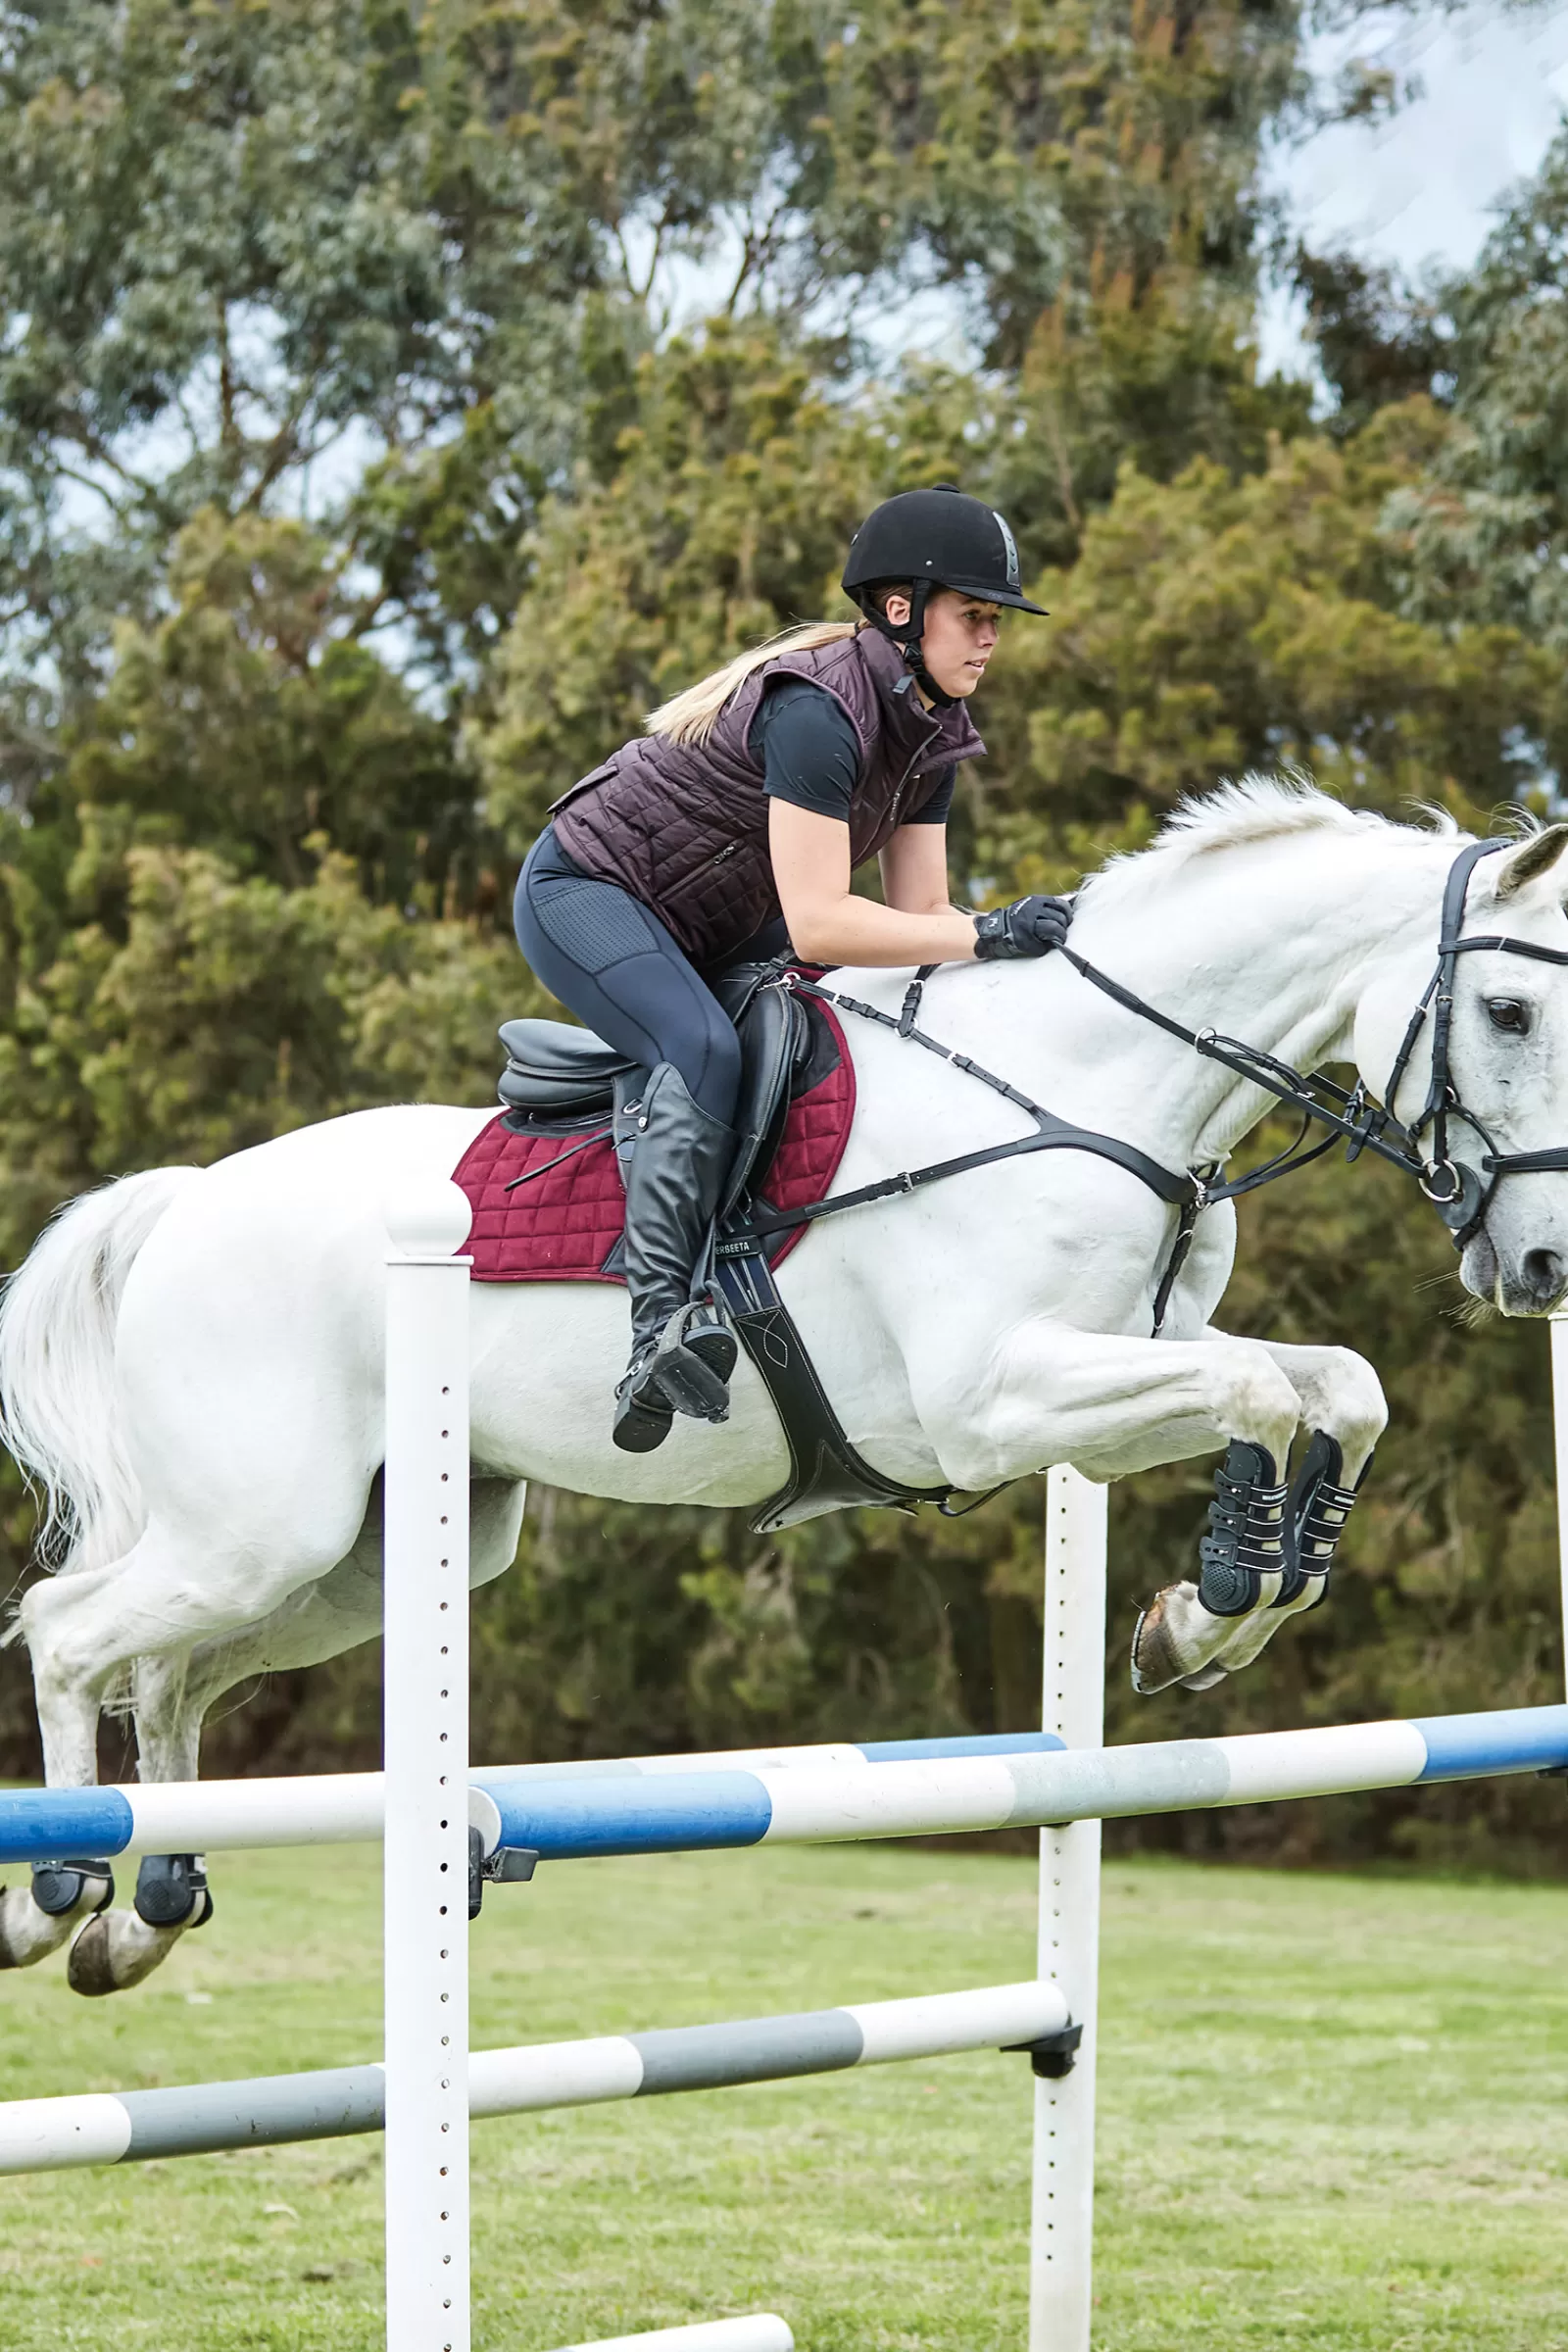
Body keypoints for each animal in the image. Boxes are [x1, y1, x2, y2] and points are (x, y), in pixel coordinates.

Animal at [3, 780, 1568, 1994]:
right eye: (1506, 1009)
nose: (1543, 1263)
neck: (1095, 1084)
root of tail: (185, 1201)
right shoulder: (997, 1405)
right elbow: (1258, 1392)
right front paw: (1217, 1598)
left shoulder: (1127, 1364)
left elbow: (1337, 1387)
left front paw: (1213, 1610)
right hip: (267, 1528)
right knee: (75, 1635)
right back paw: (58, 1896)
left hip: (364, 1556)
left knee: (174, 1672)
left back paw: (141, 1921)